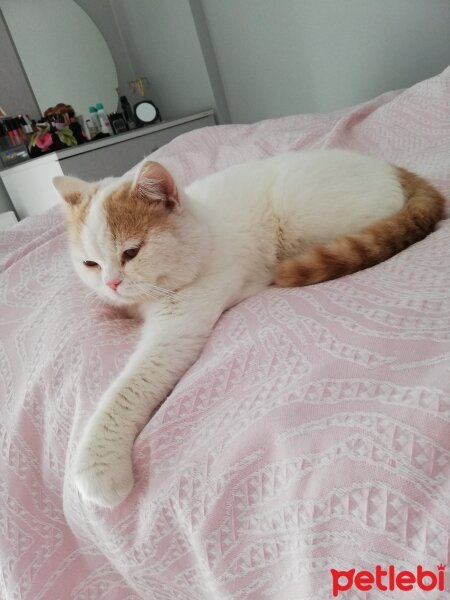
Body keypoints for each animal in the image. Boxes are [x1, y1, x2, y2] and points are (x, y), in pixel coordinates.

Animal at [52, 150, 442, 506]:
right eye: (90, 264)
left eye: (131, 252)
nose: (111, 284)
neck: (205, 233)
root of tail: (393, 168)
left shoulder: (177, 328)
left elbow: (127, 389)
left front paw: (98, 465)